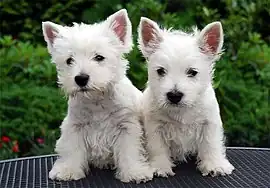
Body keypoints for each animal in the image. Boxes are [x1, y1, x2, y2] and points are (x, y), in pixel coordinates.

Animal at [41, 9, 153, 183]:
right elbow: (72, 149)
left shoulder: (127, 126)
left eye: (99, 57)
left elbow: (129, 151)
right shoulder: (75, 126)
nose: (81, 79)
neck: (96, 100)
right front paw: (67, 170)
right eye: (69, 60)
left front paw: (135, 172)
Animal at [137, 16, 234, 177]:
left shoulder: (209, 123)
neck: (181, 111)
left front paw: (215, 165)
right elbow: (157, 147)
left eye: (192, 72)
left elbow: (211, 143)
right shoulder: (155, 126)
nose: (174, 95)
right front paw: (160, 167)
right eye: (160, 71)